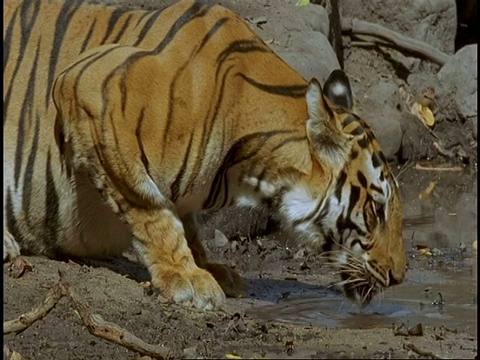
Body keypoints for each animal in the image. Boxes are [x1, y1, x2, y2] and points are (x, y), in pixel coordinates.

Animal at [4, 0, 404, 310]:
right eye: (375, 209)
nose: (399, 277)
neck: (249, 175)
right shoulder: (89, 91)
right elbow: (150, 208)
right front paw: (186, 277)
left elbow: (186, 221)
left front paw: (209, 266)